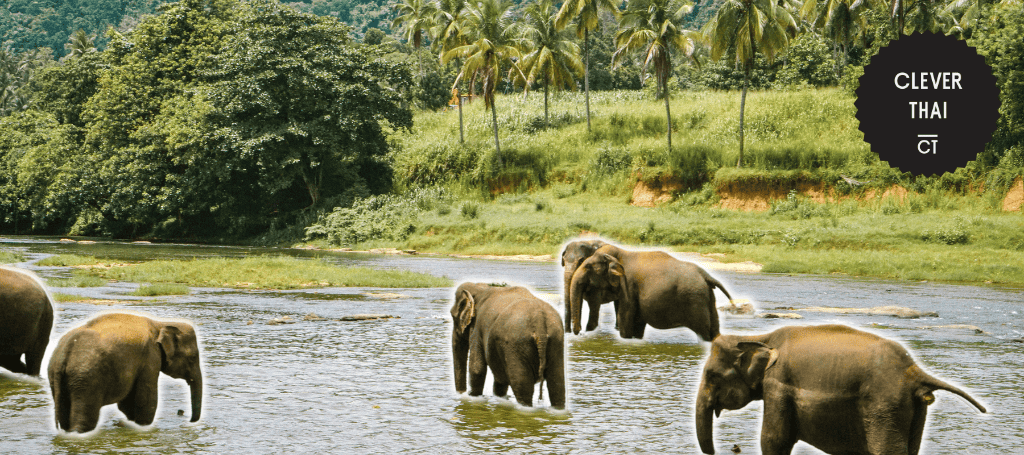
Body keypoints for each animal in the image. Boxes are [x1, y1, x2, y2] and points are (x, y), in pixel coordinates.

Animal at [47, 313, 203, 434]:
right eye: (192, 358)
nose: (186, 417)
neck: (161, 323)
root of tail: (64, 353)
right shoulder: (150, 358)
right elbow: (146, 401)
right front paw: (143, 427)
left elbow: (127, 404)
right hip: (86, 380)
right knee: (84, 420)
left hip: (59, 378)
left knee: (64, 418)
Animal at [569, 243, 729, 340]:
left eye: (588, 267)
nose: (580, 333)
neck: (620, 253)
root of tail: (706, 275)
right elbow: (637, 324)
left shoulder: (628, 286)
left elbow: (625, 318)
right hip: (707, 297)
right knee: (714, 330)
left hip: (695, 299)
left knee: (703, 331)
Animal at [696, 323, 983, 455]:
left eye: (712, 375)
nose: (728, 449)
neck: (760, 337)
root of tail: (914, 371)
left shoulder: (778, 385)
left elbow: (773, 440)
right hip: (912, 408)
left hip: (883, 405)